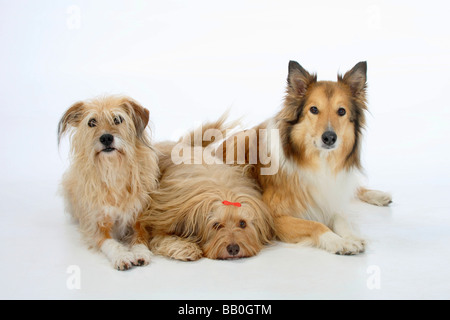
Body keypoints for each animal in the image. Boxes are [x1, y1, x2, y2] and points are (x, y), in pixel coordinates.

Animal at [58, 95, 159, 270]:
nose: (106, 138)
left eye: (117, 119)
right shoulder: (96, 223)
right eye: (92, 122)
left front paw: (140, 253)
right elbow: (110, 243)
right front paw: (122, 256)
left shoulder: (139, 217)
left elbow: (140, 237)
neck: (113, 169)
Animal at [140, 117, 274, 260]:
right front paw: (186, 248)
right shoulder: (163, 218)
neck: (222, 189)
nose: (233, 248)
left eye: (242, 223)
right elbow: (162, 238)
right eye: (216, 225)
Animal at [223, 60, 392, 255]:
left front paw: (352, 237)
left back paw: (379, 195)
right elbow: (316, 225)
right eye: (314, 109)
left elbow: (341, 218)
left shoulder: (330, 195)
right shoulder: (273, 216)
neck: (320, 161)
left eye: (341, 111)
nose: (329, 138)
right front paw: (338, 242)